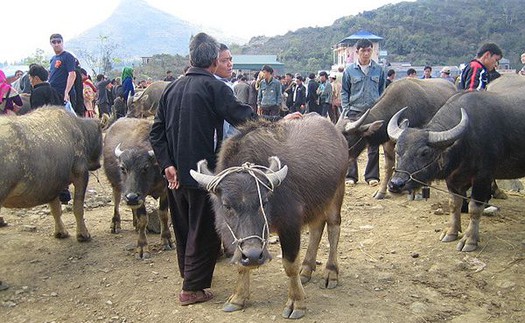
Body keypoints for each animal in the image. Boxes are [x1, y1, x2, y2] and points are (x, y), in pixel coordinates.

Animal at [0, 107, 103, 242]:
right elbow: (78, 207)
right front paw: (83, 234)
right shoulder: (81, 174)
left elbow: (55, 209)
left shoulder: (52, 184)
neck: (80, 129)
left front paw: (61, 232)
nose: (98, 165)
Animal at [103, 117, 173, 260]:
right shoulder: (139, 196)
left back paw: (134, 223)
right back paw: (115, 224)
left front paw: (166, 239)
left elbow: (163, 214)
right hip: (117, 186)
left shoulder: (164, 190)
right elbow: (143, 219)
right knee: (116, 202)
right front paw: (142, 247)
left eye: (145, 168)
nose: (131, 197)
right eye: (123, 168)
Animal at [189, 113, 348, 318]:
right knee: (316, 228)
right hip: (317, 203)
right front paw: (238, 298)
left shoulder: (290, 225)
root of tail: (337, 132)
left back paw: (331, 272)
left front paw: (296, 303)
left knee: (333, 228)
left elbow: (290, 265)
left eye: (264, 202)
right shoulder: (232, 235)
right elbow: (240, 264)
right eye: (226, 205)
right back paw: (306, 269)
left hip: (337, 193)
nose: (254, 256)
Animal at [386, 90, 524, 253]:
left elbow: (474, 208)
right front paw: (451, 232)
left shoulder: (483, 177)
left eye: (424, 152)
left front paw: (469, 239)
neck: (466, 140)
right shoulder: (452, 178)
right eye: (397, 150)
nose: (395, 184)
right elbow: (454, 204)